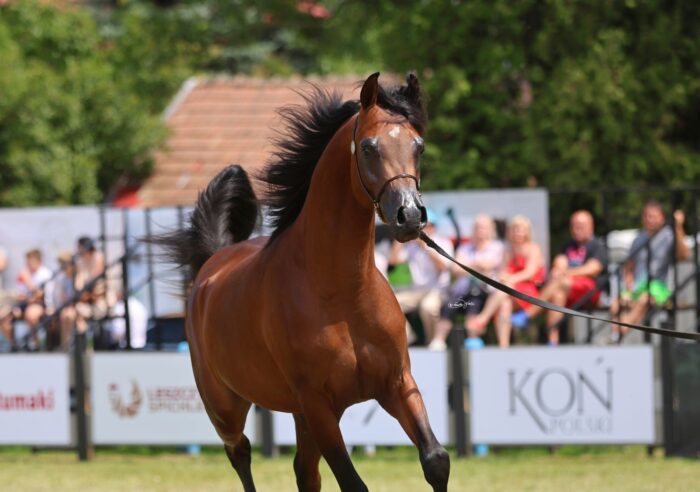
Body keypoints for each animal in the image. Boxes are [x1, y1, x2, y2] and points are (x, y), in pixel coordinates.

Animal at [155, 72, 449, 491]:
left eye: (418, 146)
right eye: (368, 147)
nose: (409, 216)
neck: (341, 295)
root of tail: (212, 263)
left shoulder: (396, 385)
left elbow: (435, 460)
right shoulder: (317, 404)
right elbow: (353, 483)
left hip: (298, 416)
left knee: (303, 472)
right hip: (225, 407)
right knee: (241, 453)